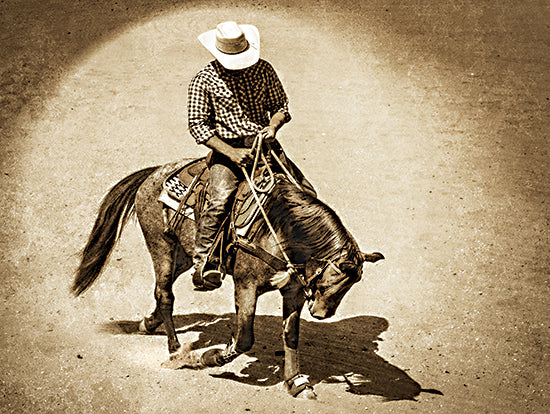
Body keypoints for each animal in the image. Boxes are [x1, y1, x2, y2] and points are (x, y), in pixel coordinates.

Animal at [72, 156, 384, 398]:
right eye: (332, 277)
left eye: (351, 284)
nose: (322, 313)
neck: (281, 229)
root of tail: (155, 172)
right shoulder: (245, 286)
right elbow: (244, 338)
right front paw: (207, 357)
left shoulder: (294, 291)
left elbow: (291, 335)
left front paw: (296, 382)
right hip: (161, 246)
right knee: (164, 294)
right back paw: (176, 349)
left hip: (186, 255)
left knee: (166, 289)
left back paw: (148, 323)